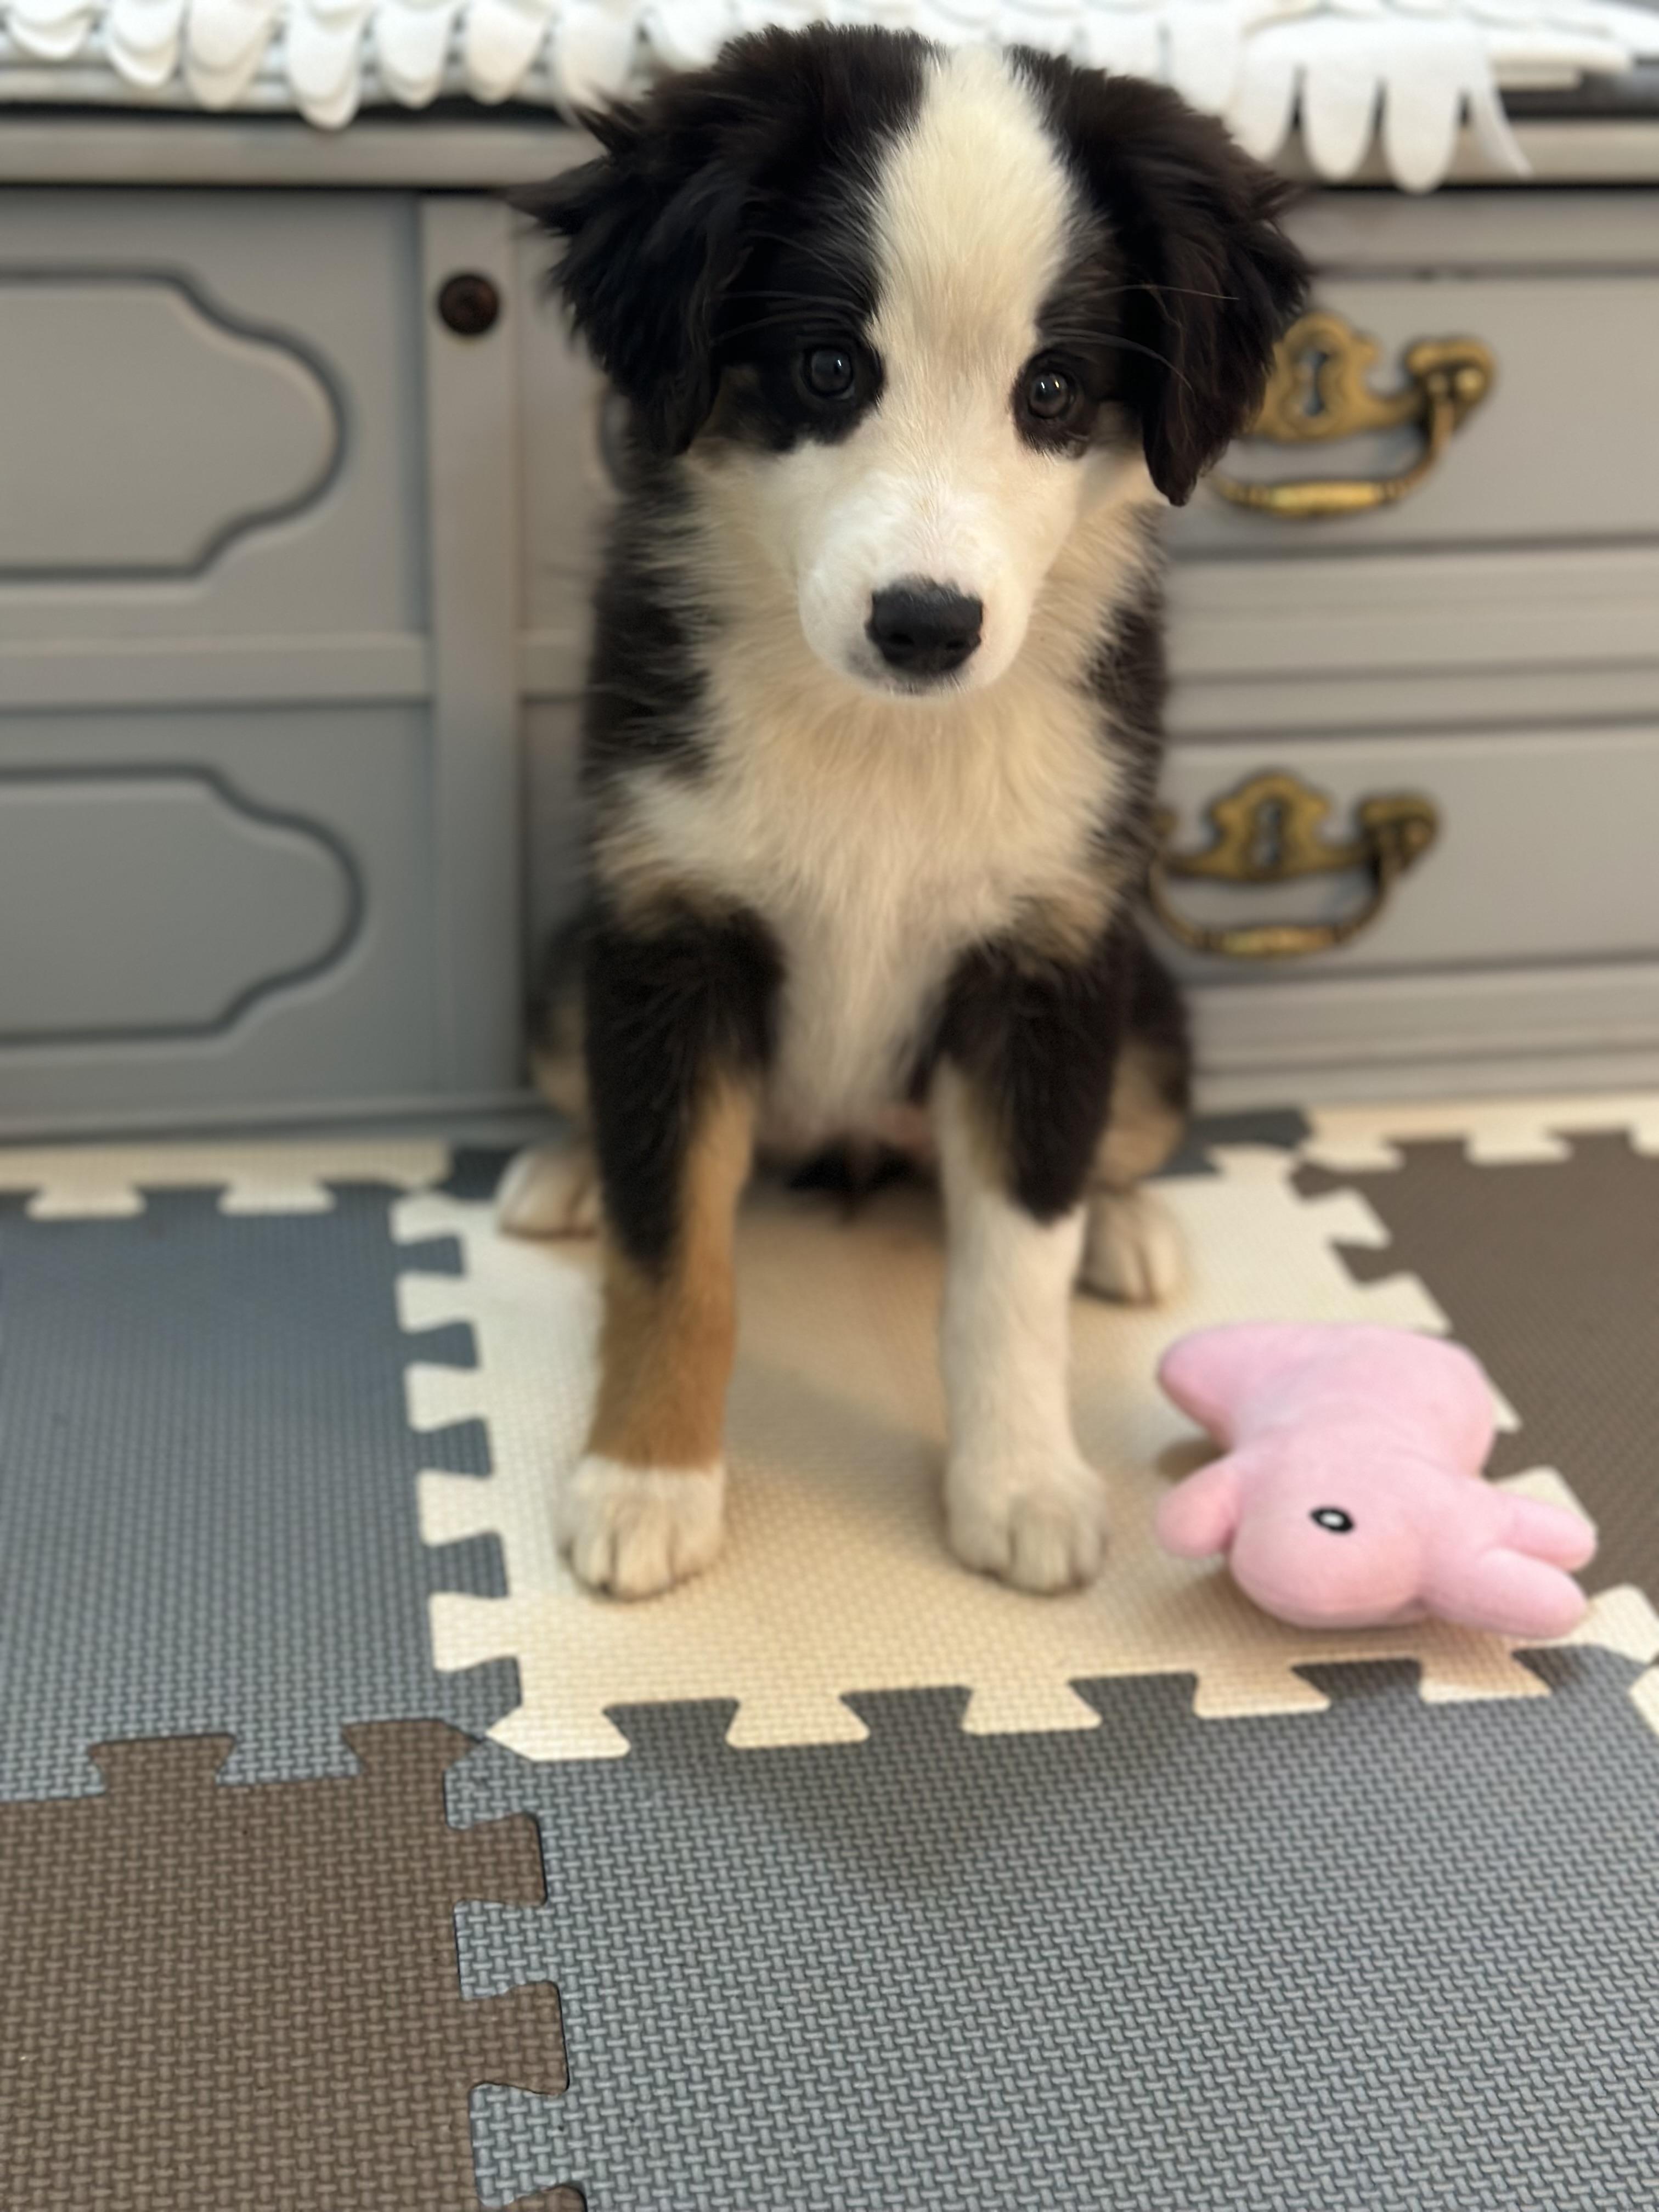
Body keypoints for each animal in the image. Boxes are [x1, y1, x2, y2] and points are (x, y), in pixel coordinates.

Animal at [504, 26, 1307, 1601]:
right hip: (576, 968)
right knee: (604, 1111)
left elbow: (1012, 1270)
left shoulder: (1047, 958)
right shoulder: (671, 928)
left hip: (1146, 1010)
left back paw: (1127, 1224)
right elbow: (669, 1246)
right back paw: (564, 1172)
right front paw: (646, 1481)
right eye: (830, 367)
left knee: (1106, 1147)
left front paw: (1023, 1484)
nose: (927, 626)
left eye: (1052, 392)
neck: (885, 742)